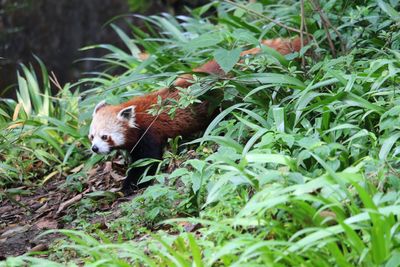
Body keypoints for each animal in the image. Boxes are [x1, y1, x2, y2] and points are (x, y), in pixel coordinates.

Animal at [89, 36, 304, 194]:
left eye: (105, 136)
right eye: (91, 136)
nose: (94, 148)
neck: (137, 119)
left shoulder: (149, 134)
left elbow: (147, 163)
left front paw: (129, 185)